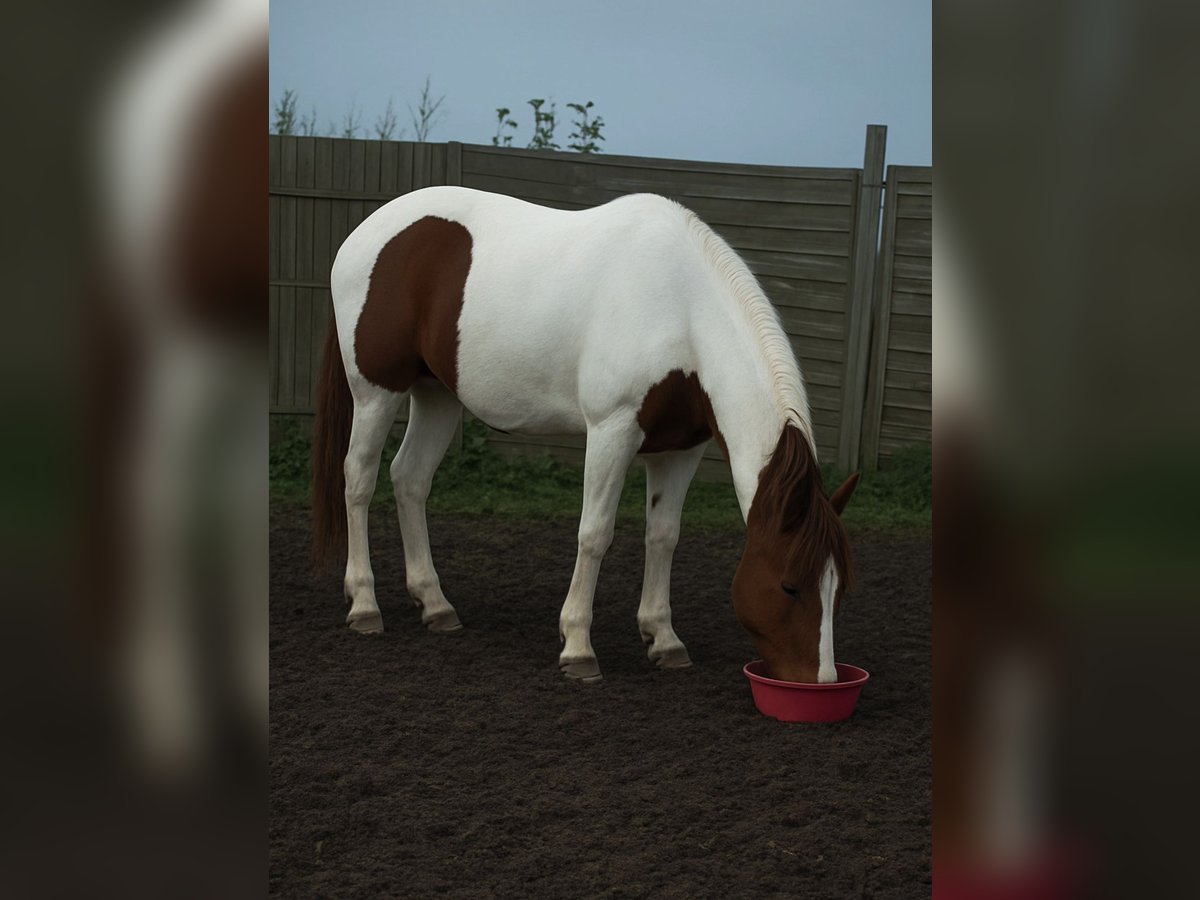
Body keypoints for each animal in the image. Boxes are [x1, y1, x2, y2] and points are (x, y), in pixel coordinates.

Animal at [311, 185, 859, 684]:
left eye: (839, 587)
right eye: (789, 586)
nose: (821, 681)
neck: (680, 307)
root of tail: (360, 236)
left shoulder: (681, 449)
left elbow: (663, 536)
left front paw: (664, 638)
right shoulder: (612, 430)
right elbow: (595, 534)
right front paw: (577, 647)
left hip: (438, 395)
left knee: (410, 479)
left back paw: (435, 603)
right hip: (376, 391)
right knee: (358, 479)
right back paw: (364, 603)